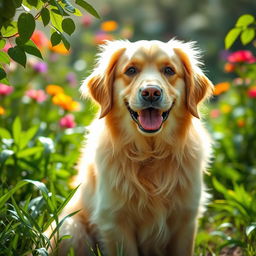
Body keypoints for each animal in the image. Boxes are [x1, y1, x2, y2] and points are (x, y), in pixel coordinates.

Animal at [54, 39, 214, 255]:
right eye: (130, 70)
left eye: (169, 70)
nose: (151, 92)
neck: (150, 154)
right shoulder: (115, 221)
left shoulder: (186, 219)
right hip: (70, 228)